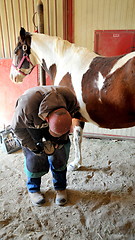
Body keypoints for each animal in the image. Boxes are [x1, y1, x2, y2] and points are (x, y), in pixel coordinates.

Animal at [10, 27, 135, 171]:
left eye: (16, 51)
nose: (13, 77)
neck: (63, 62)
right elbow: (78, 137)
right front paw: (77, 162)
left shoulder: (70, 114)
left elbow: (75, 139)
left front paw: (74, 163)